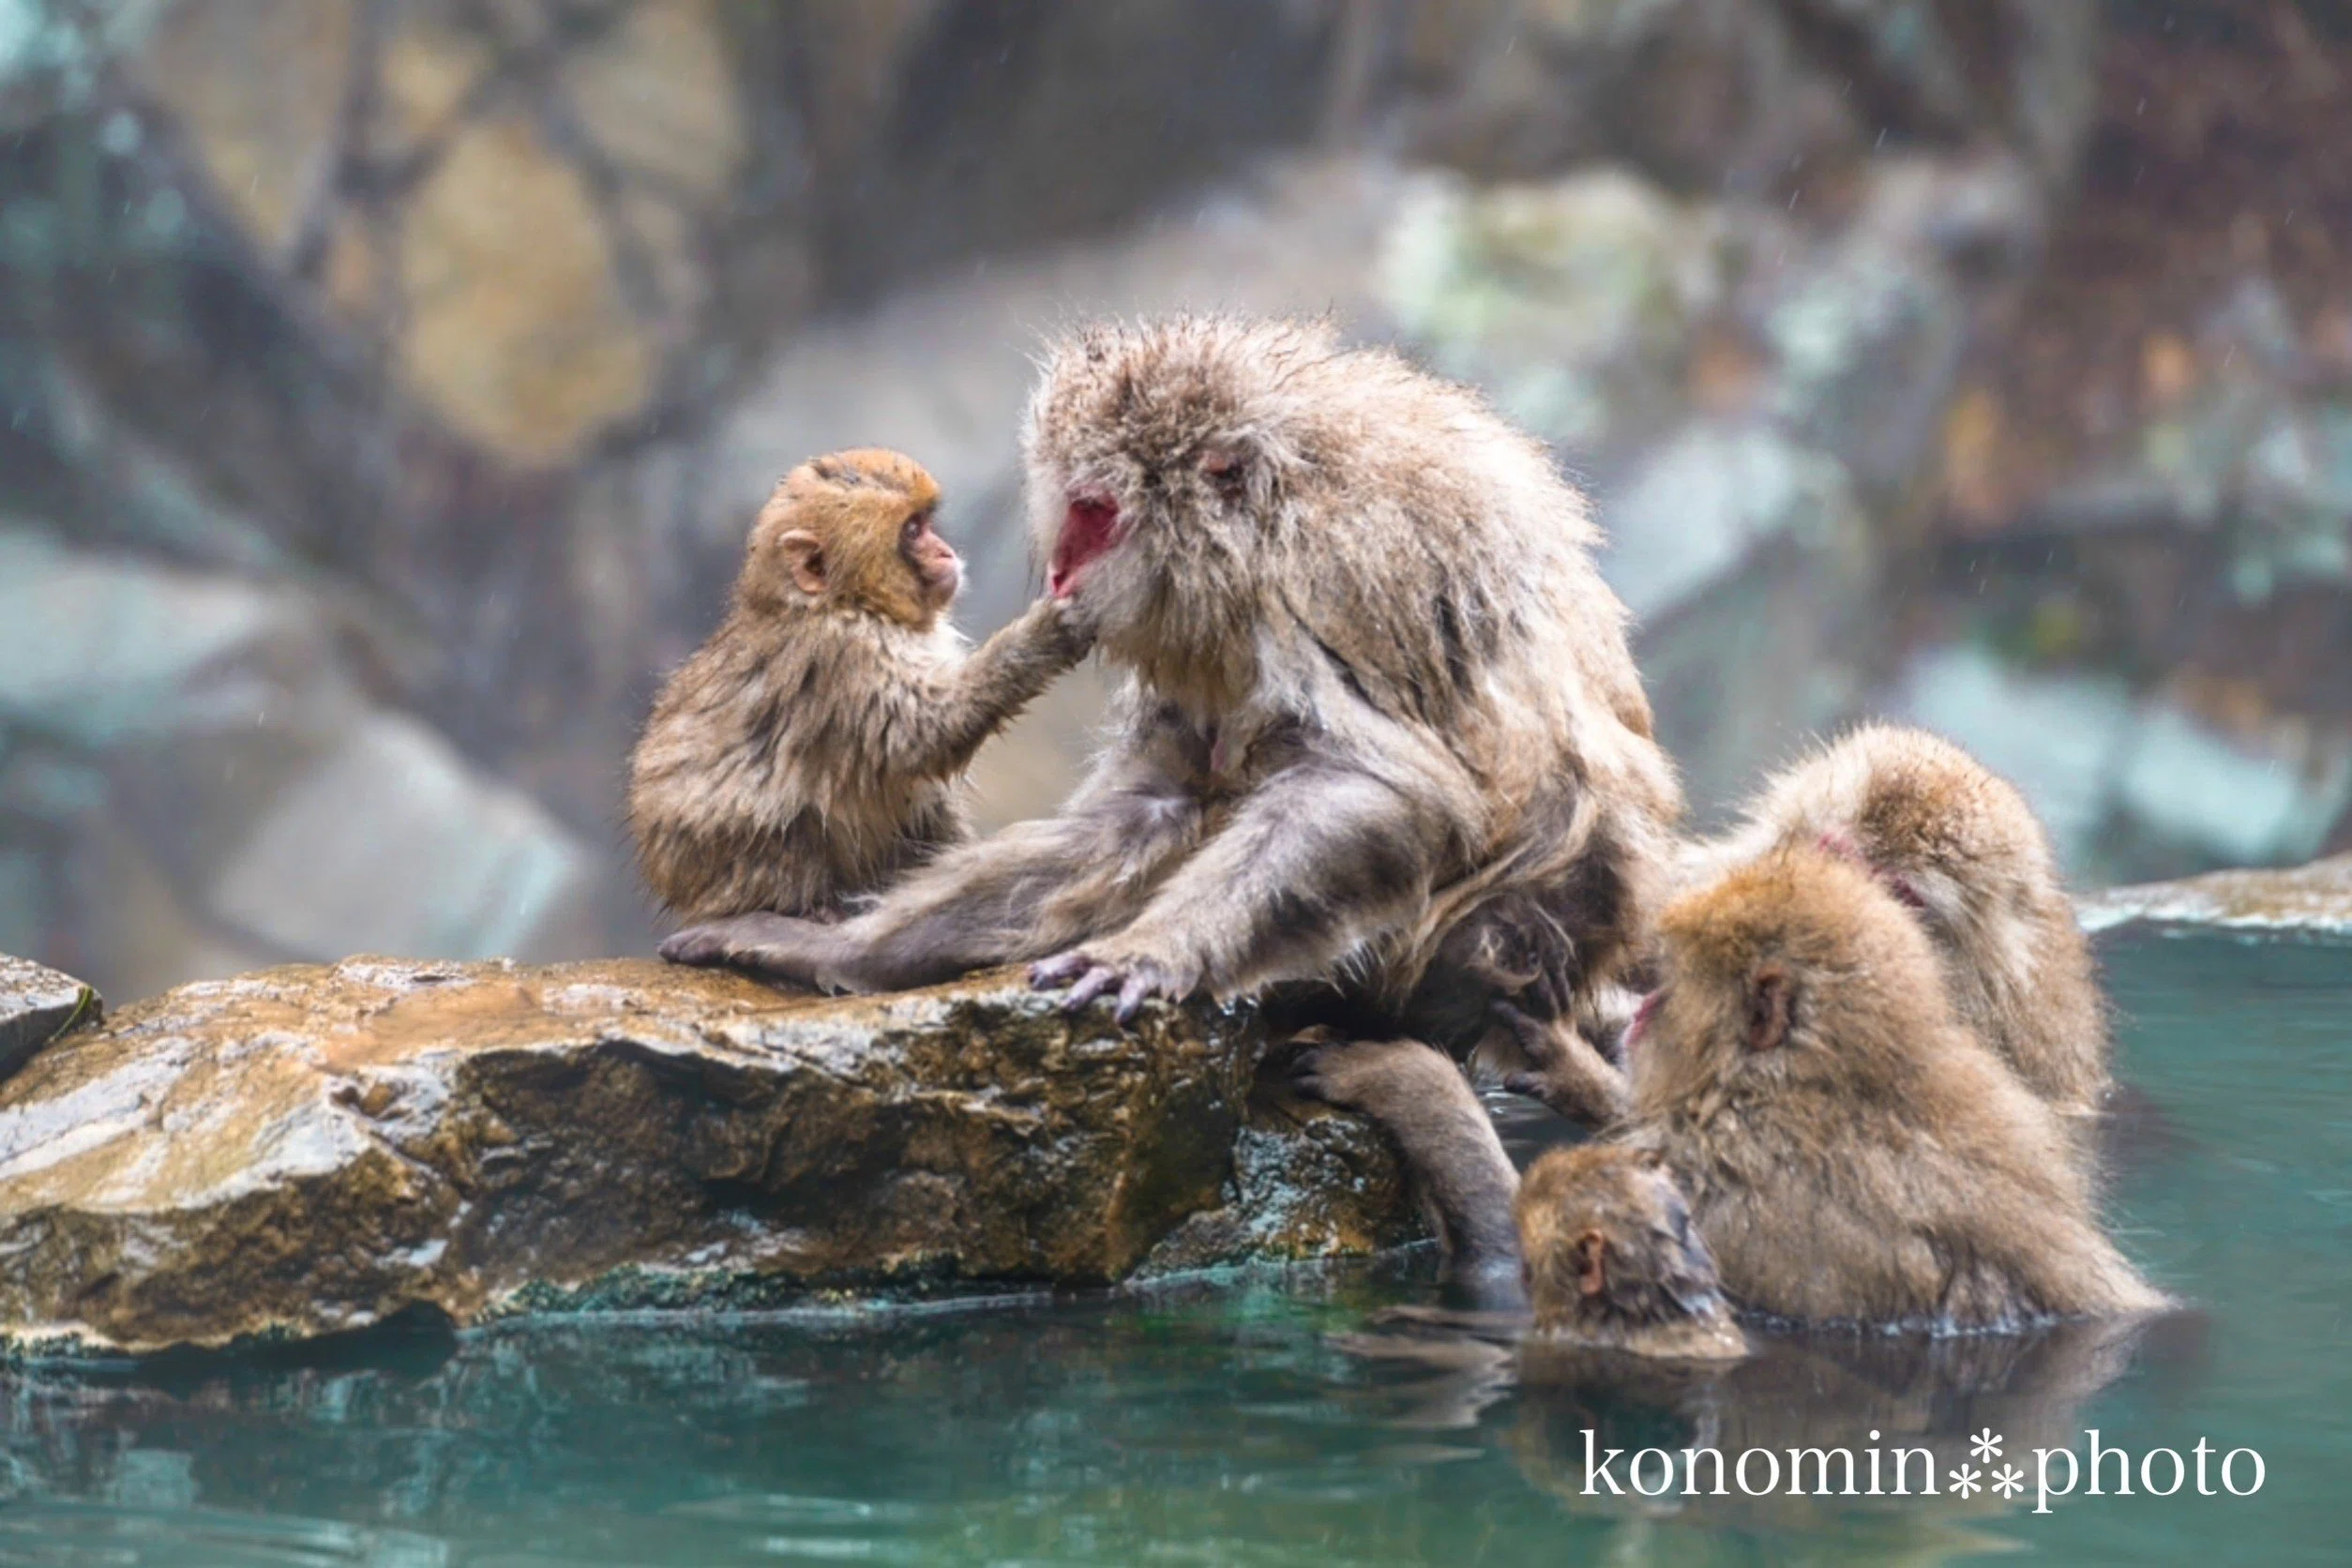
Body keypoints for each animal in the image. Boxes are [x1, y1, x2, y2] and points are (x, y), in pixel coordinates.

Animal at [632, 449, 1089, 930]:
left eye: (926, 523)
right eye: (912, 531)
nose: (945, 551)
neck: (848, 604)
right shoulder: (847, 658)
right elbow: (921, 735)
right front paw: (1044, 634)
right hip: (721, 866)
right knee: (789, 820)